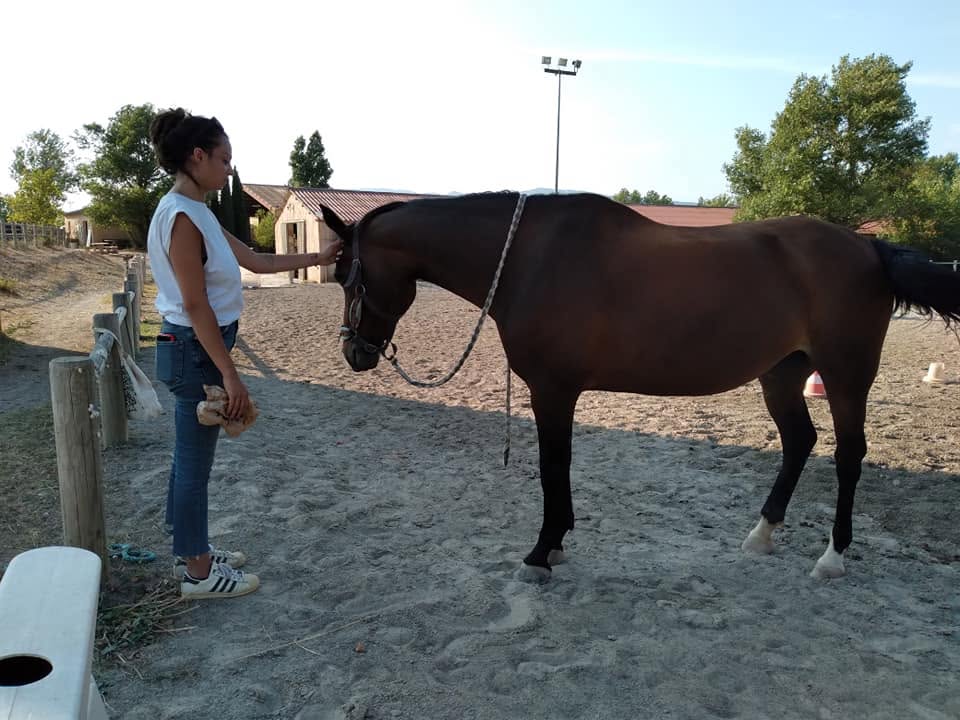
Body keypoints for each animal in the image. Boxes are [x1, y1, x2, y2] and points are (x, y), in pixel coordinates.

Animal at [319, 192, 960, 582]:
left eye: (346, 273)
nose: (354, 352)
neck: (530, 257)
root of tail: (868, 246)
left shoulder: (553, 390)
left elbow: (553, 466)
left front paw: (542, 551)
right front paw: (555, 544)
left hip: (847, 376)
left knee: (849, 456)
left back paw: (831, 558)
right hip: (783, 373)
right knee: (799, 443)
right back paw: (761, 535)